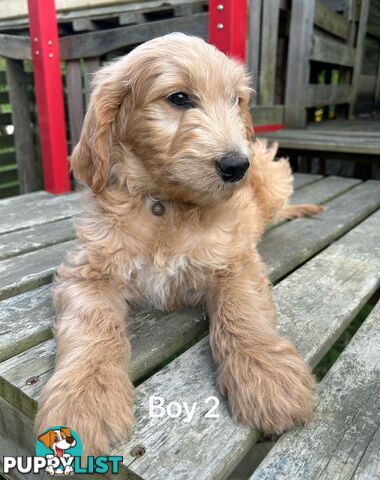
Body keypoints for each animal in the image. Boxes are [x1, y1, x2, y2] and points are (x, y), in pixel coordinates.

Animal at [35, 32, 320, 454]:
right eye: (180, 98)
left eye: (235, 100)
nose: (237, 167)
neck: (165, 204)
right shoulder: (87, 271)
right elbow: (92, 323)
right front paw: (84, 395)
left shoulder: (235, 261)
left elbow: (242, 312)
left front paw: (268, 375)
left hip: (271, 174)